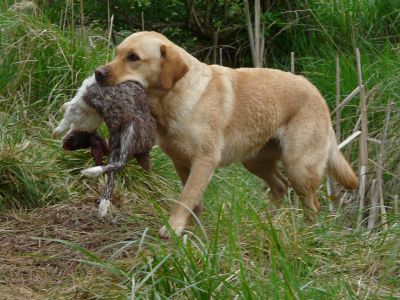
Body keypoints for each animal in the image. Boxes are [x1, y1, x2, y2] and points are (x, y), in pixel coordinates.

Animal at [94, 31, 360, 238]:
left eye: (133, 57)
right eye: (117, 53)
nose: (98, 73)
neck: (175, 97)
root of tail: (316, 91)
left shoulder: (205, 161)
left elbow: (186, 197)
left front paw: (173, 228)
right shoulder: (182, 162)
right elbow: (194, 201)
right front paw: (193, 229)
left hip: (299, 167)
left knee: (312, 203)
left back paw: (306, 233)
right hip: (255, 160)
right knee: (280, 186)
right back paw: (267, 222)